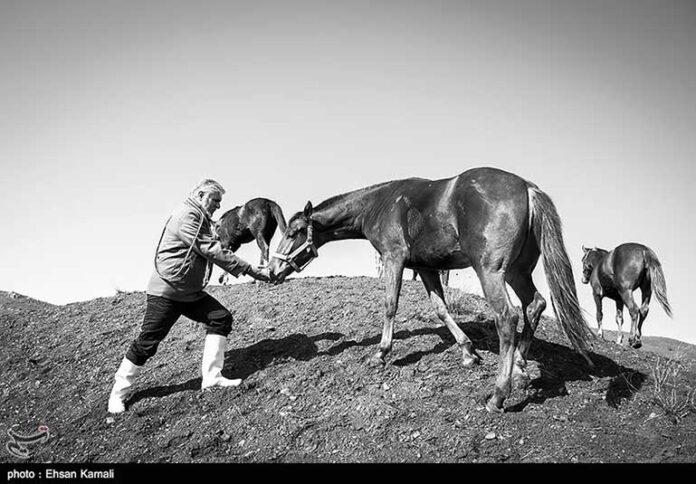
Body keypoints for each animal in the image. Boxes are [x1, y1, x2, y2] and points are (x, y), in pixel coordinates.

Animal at [268, 167, 594, 413]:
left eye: (294, 232)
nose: (271, 270)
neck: (380, 203)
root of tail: (527, 188)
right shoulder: (425, 268)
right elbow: (441, 309)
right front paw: (468, 352)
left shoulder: (394, 258)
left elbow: (390, 305)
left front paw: (381, 353)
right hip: (517, 272)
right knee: (534, 305)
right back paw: (520, 368)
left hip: (491, 272)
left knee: (508, 317)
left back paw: (498, 395)